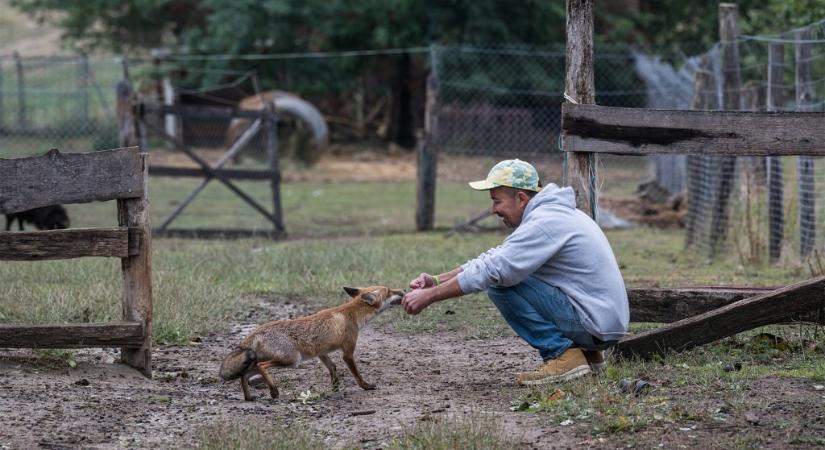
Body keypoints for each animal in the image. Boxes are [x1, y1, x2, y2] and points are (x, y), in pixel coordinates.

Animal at [217, 286, 400, 400]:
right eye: (389, 291)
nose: (403, 290)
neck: (352, 314)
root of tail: (256, 331)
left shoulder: (321, 353)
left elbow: (332, 368)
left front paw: (335, 387)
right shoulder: (348, 353)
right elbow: (356, 374)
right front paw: (365, 386)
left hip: (265, 361)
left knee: (244, 375)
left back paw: (249, 397)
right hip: (292, 360)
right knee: (262, 367)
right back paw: (274, 391)